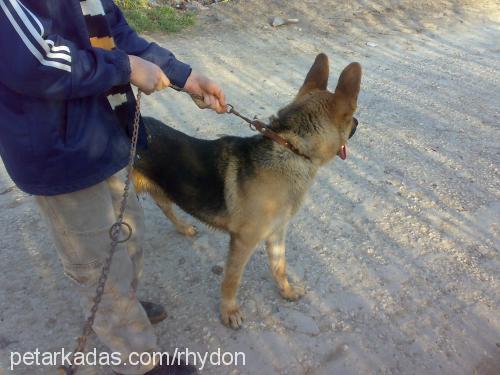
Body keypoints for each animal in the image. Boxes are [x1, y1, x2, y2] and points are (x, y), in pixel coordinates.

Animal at [132, 53, 360, 328]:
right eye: (351, 116)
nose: (358, 123)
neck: (291, 147)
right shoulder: (243, 241)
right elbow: (232, 280)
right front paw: (229, 311)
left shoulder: (276, 234)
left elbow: (279, 267)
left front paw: (286, 291)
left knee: (166, 207)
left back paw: (184, 228)